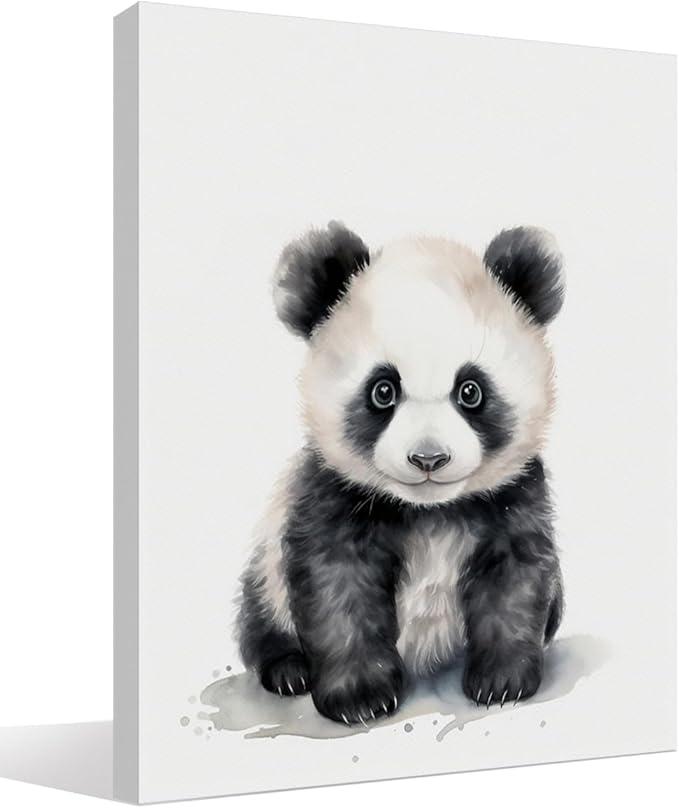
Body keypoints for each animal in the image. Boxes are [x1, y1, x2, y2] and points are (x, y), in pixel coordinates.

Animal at [237, 222, 564, 725]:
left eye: (471, 390)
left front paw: (502, 681)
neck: (429, 511)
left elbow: (516, 580)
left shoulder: (515, 497)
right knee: (259, 615)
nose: (428, 459)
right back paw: (288, 669)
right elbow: (337, 586)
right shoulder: (330, 495)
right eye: (383, 390)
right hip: (265, 567)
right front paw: (361, 697)